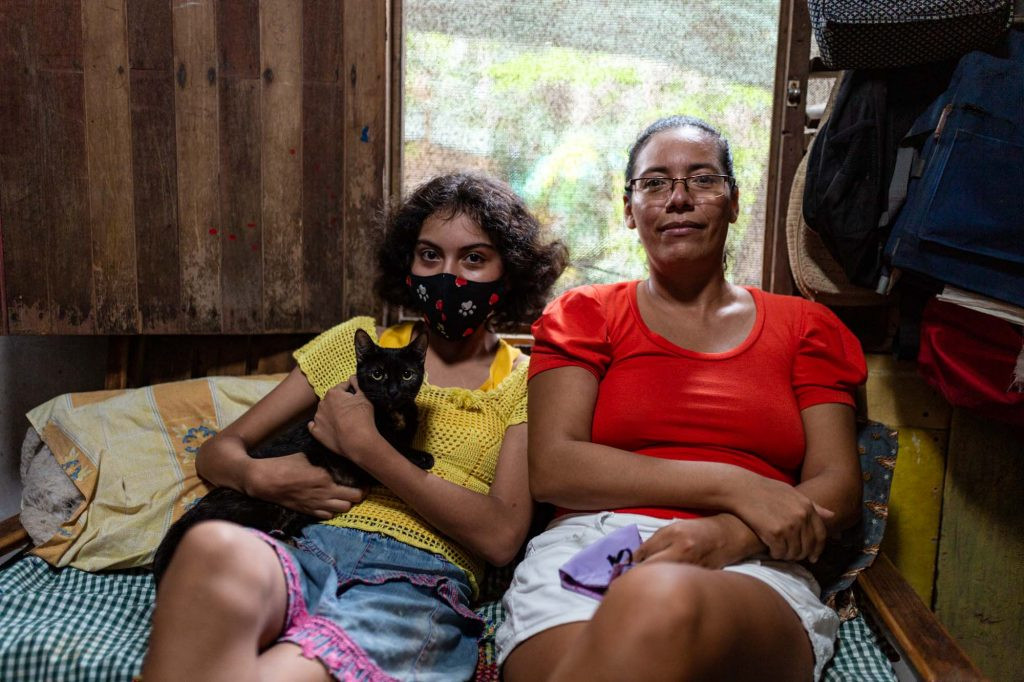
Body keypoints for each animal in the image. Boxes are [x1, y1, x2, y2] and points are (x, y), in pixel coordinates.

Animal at [152, 328, 431, 585]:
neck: (394, 413)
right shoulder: (344, 457)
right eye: (377, 374)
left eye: (407, 374)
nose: (393, 391)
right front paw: (421, 457)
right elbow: (387, 448)